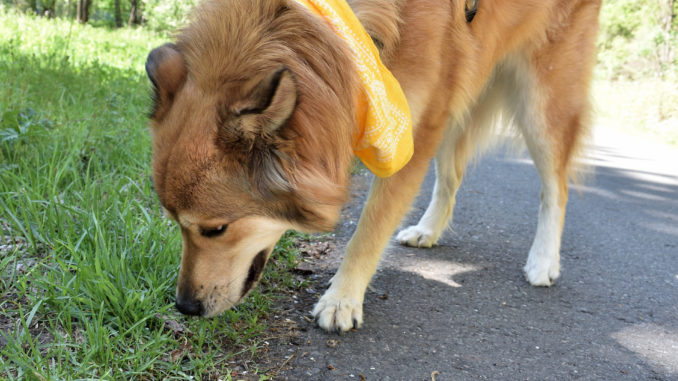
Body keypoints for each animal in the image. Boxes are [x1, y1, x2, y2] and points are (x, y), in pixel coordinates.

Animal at [146, 0, 604, 332]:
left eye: (216, 229)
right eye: (174, 223)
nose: (184, 307)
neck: (333, 45)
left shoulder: (409, 140)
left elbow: (368, 231)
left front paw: (342, 299)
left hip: (542, 99)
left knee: (556, 186)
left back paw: (543, 260)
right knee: (452, 176)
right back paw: (428, 231)